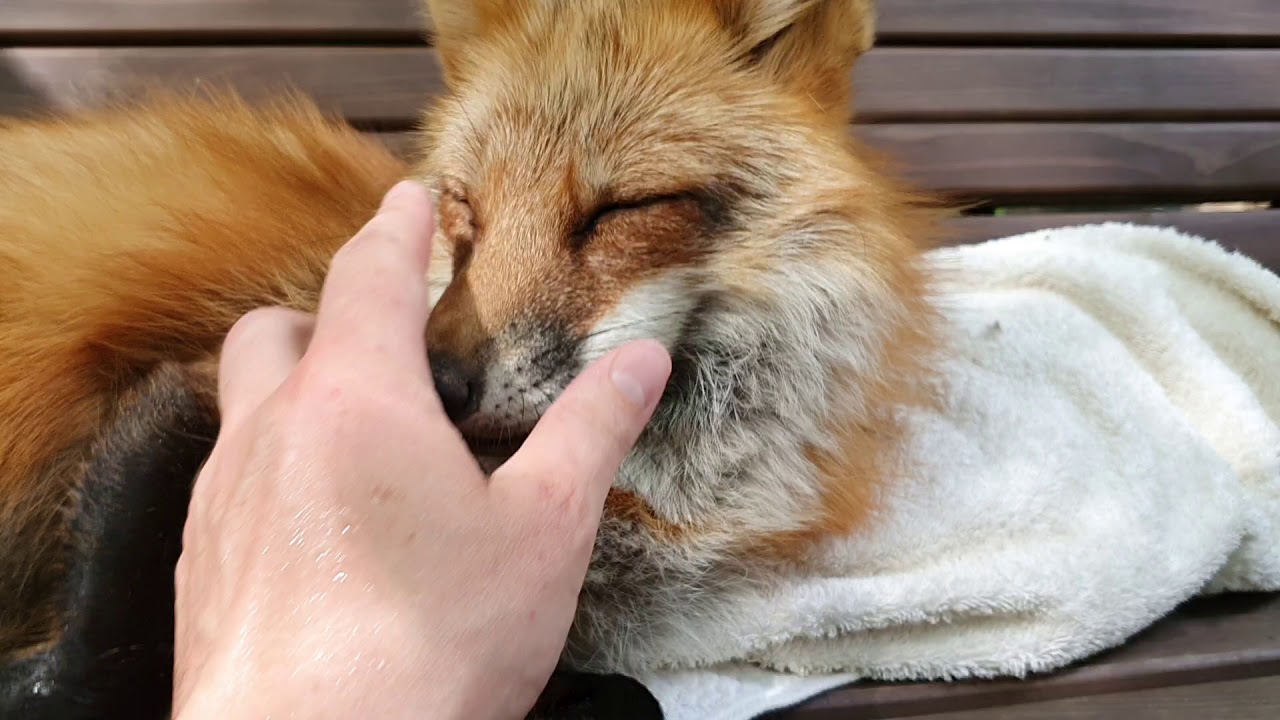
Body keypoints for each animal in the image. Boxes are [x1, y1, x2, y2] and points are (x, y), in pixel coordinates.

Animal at [1, 0, 948, 717]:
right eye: (463, 207)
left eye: (622, 209)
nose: (431, 381)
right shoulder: (190, 392)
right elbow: (101, 651)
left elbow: (625, 697)